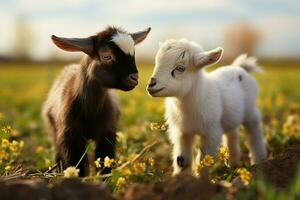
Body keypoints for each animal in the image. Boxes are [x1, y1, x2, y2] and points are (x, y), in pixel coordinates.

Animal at [148, 39, 268, 175]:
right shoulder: (181, 132)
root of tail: (239, 67)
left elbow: (204, 159)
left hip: (250, 110)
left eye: (180, 68)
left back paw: (259, 161)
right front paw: (180, 177)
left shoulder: (212, 132)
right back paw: (233, 164)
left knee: (254, 131)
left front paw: (201, 178)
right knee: (232, 134)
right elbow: (181, 158)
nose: (151, 85)